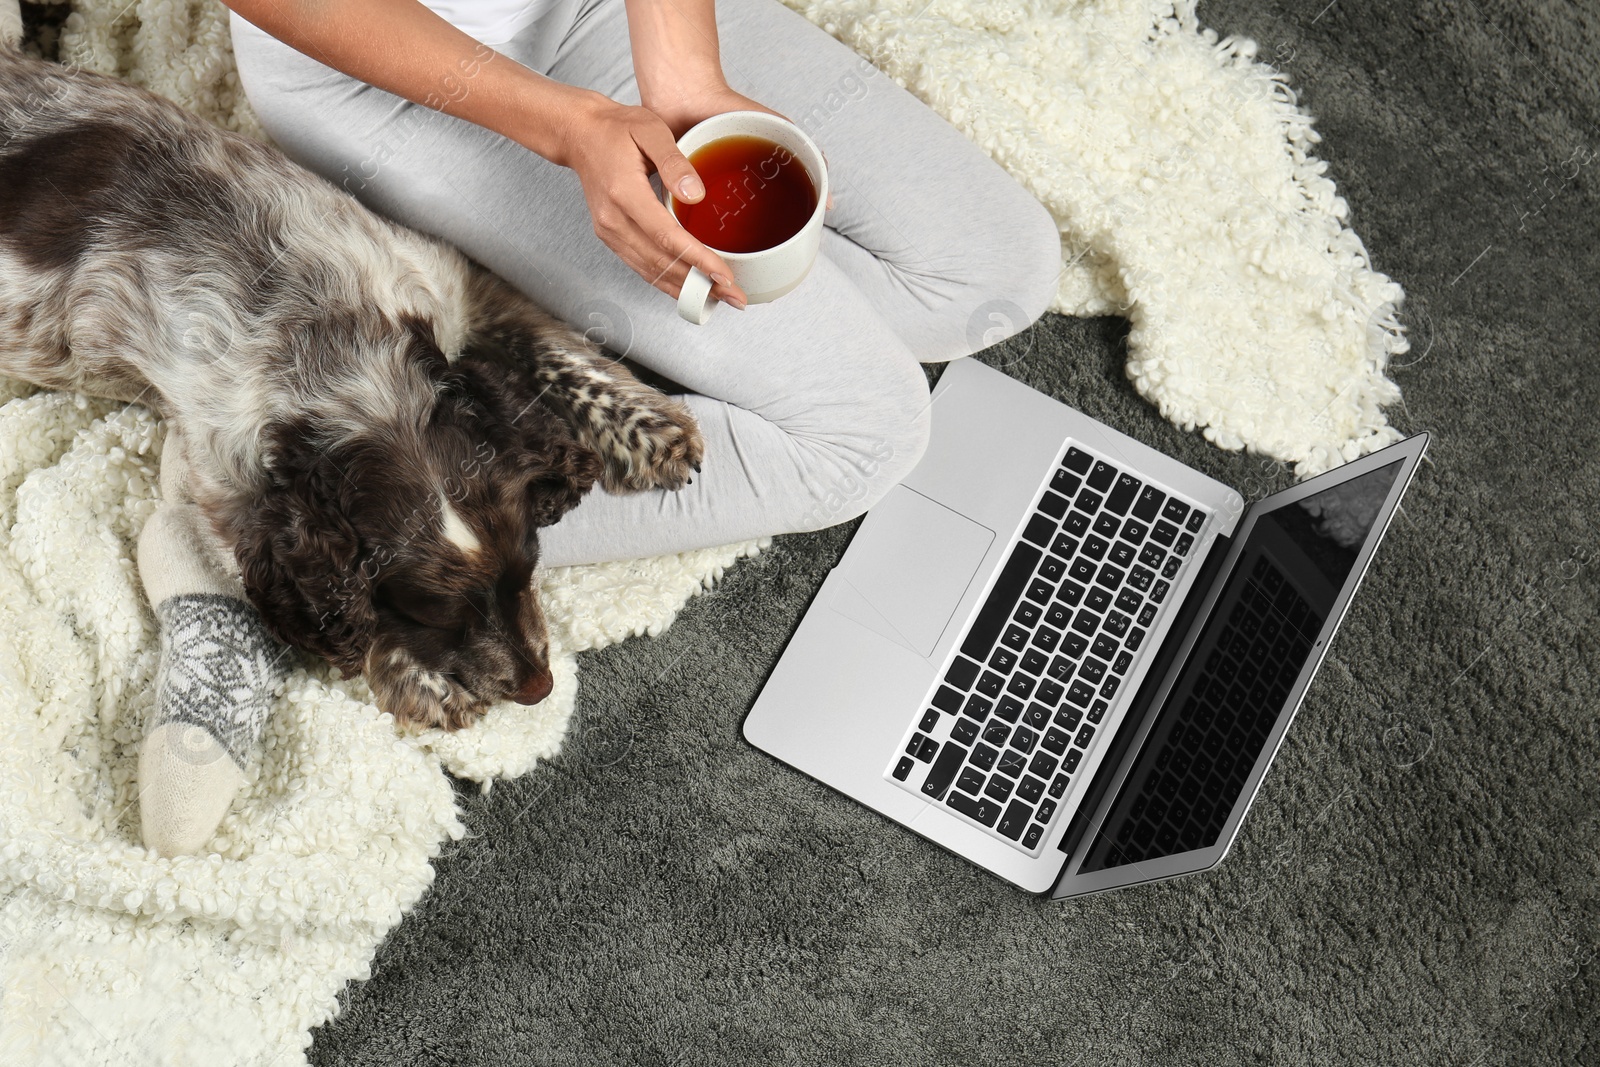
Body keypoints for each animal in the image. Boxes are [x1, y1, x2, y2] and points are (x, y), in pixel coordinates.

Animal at [0, 39, 700, 726]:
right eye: (431, 614)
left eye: (526, 564)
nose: (539, 686)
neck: (334, 348)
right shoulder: (228, 483)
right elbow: (341, 614)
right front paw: (419, 677)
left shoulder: (453, 285)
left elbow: (556, 354)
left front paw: (652, 431)